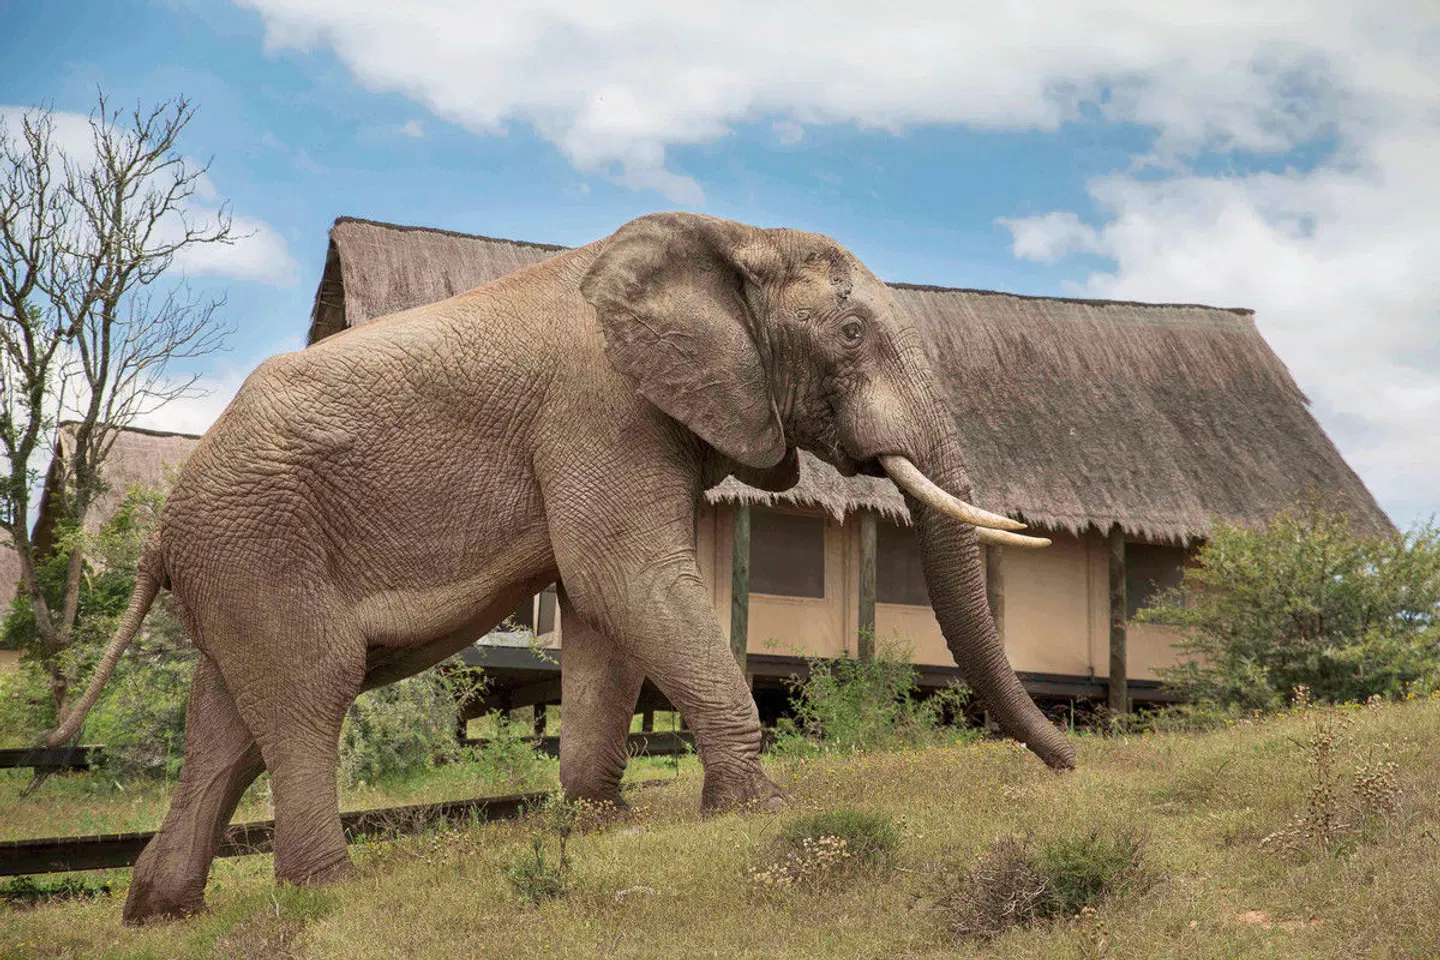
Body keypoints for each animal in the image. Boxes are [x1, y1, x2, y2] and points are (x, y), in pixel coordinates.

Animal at [48, 211, 1074, 924]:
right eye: (853, 338)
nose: (1071, 765)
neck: (733, 236)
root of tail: (161, 526)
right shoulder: (603, 409)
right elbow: (627, 576)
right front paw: (758, 807)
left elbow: (600, 608)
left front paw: (596, 821)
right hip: (259, 543)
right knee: (307, 692)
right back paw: (328, 891)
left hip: (235, 563)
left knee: (226, 724)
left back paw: (162, 912)